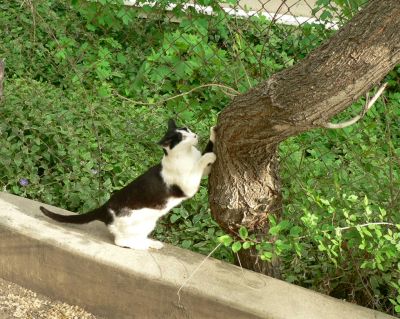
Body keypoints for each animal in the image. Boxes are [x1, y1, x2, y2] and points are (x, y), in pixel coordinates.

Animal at [39, 119, 216, 250]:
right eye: (182, 138)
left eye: (187, 129)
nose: (195, 135)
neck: (187, 154)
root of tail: (105, 206)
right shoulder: (189, 186)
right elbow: (202, 160)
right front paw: (210, 156)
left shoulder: (203, 173)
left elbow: (207, 153)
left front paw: (214, 131)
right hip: (135, 222)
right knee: (121, 241)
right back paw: (143, 246)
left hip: (148, 222)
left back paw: (152, 243)